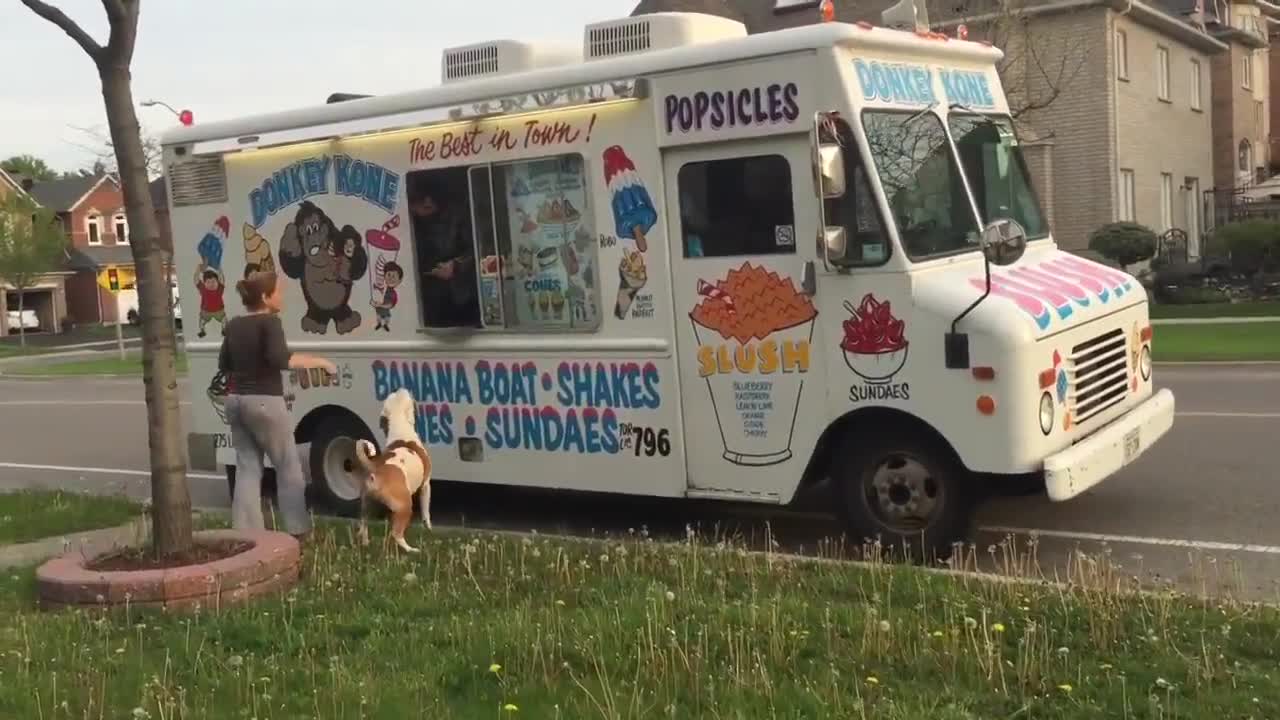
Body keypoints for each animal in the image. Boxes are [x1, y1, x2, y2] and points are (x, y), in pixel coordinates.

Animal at [353, 386, 432, 548]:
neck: (400, 425)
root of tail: (376, 470)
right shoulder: (426, 485)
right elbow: (426, 511)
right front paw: (428, 527)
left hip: (367, 505)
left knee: (363, 524)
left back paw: (365, 543)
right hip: (405, 506)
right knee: (397, 534)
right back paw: (411, 550)